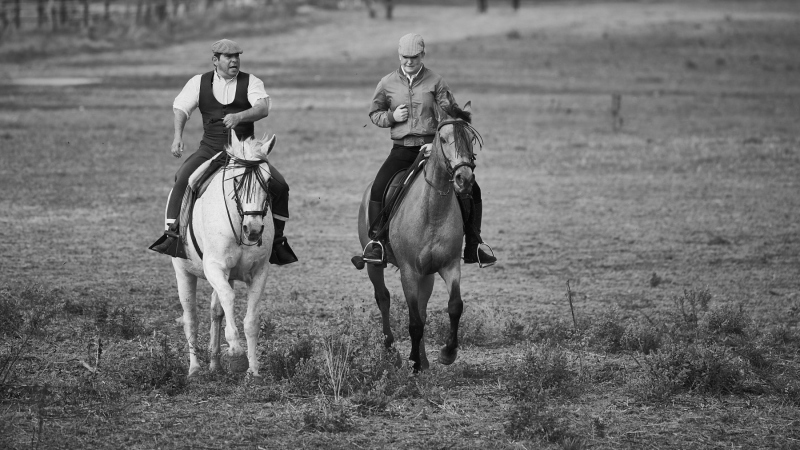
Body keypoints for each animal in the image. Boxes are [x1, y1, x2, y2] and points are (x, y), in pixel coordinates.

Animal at [173, 132, 276, 378]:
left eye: (268, 182)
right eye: (236, 180)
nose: (254, 229)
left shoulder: (259, 272)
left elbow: (251, 321)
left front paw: (253, 371)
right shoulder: (214, 267)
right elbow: (229, 298)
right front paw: (236, 351)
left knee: (215, 312)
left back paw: (215, 364)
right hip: (183, 272)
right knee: (191, 318)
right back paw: (194, 369)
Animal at [356, 103, 482, 370]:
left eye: (470, 140)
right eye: (443, 139)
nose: (464, 179)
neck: (432, 211)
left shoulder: (449, 266)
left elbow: (454, 306)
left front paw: (447, 353)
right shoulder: (409, 271)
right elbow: (413, 321)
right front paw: (413, 361)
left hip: (428, 274)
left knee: (422, 309)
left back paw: (423, 359)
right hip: (375, 264)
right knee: (383, 298)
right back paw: (392, 351)